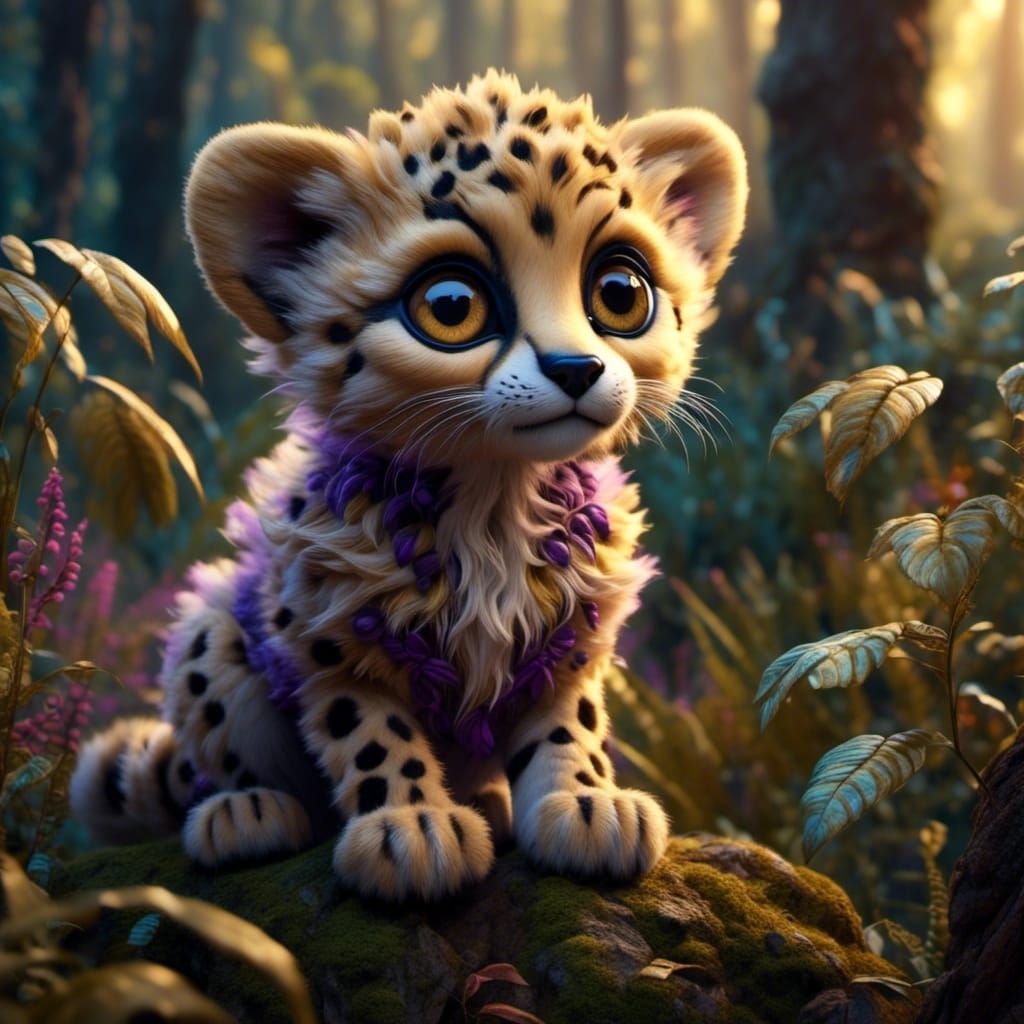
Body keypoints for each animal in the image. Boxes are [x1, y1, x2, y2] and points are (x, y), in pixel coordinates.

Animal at [70, 69, 747, 901]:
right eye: (450, 305)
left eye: (621, 291)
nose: (577, 368)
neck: (493, 501)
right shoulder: (328, 637)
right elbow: (371, 733)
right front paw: (412, 829)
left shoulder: (575, 634)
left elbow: (570, 724)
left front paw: (587, 805)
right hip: (210, 630)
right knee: (222, 757)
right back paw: (245, 813)